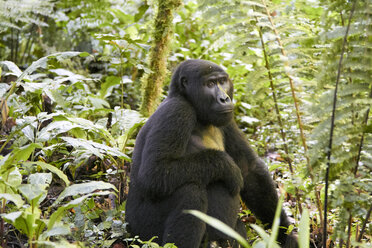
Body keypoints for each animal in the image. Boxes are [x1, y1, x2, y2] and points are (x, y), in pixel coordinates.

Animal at [126, 59, 298, 247]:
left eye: (222, 81)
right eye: (209, 84)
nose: (224, 98)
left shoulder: (227, 119)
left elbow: (250, 170)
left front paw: (285, 235)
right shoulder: (177, 111)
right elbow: (154, 174)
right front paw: (226, 165)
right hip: (142, 235)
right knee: (189, 191)